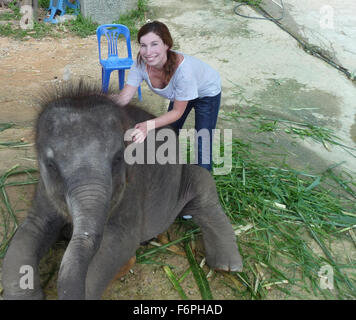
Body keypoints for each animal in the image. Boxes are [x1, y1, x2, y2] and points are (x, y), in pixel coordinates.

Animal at [1, 82, 242, 300]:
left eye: (118, 158)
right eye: (51, 165)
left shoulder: (131, 191)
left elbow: (117, 243)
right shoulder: (43, 191)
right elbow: (29, 232)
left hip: (186, 175)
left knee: (204, 185)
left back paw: (228, 267)